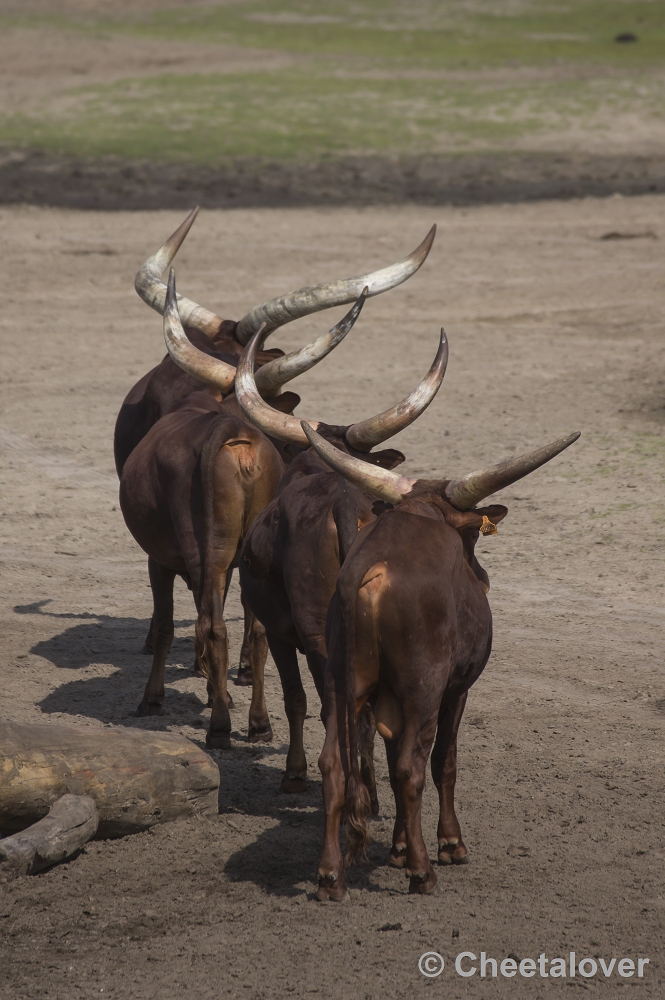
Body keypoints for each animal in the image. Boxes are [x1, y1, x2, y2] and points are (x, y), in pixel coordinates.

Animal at [232, 326, 446, 796]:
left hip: (317, 633)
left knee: (336, 707)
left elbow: (295, 698)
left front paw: (294, 772)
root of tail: (345, 501)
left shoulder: (280, 631)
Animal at [298, 414, 580, 900]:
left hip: (339, 683)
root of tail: (369, 574)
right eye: (471, 536)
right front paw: (448, 844)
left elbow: (389, 756)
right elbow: (442, 762)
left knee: (334, 764)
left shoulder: (387, 700)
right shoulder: (456, 689)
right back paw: (423, 872)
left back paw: (331, 876)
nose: (482, 577)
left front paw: (396, 848)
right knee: (412, 767)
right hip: (425, 687)